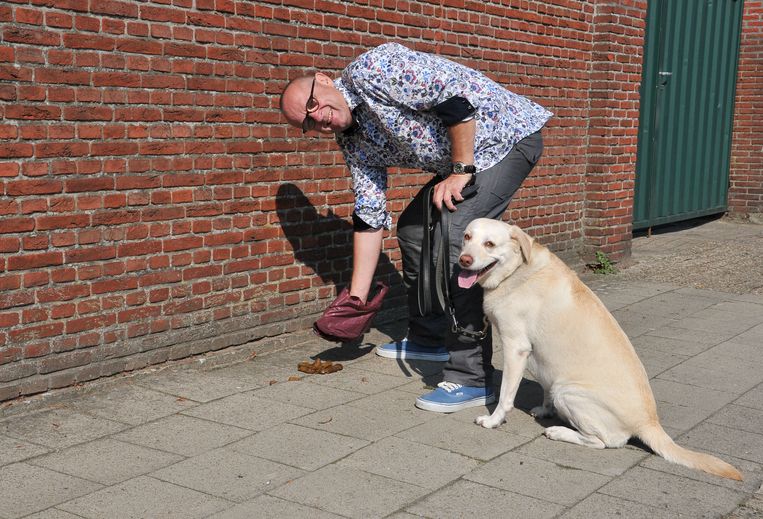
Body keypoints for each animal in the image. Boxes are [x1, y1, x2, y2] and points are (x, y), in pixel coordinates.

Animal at [456, 217, 744, 482]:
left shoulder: (515, 347)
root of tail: (649, 422)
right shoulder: (542, 361)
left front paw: (493, 421)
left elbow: (506, 395)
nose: (463, 260)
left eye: (490, 244)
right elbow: (544, 388)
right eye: (467, 237)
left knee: (605, 442)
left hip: (568, 392)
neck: (517, 271)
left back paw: (559, 432)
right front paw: (545, 410)